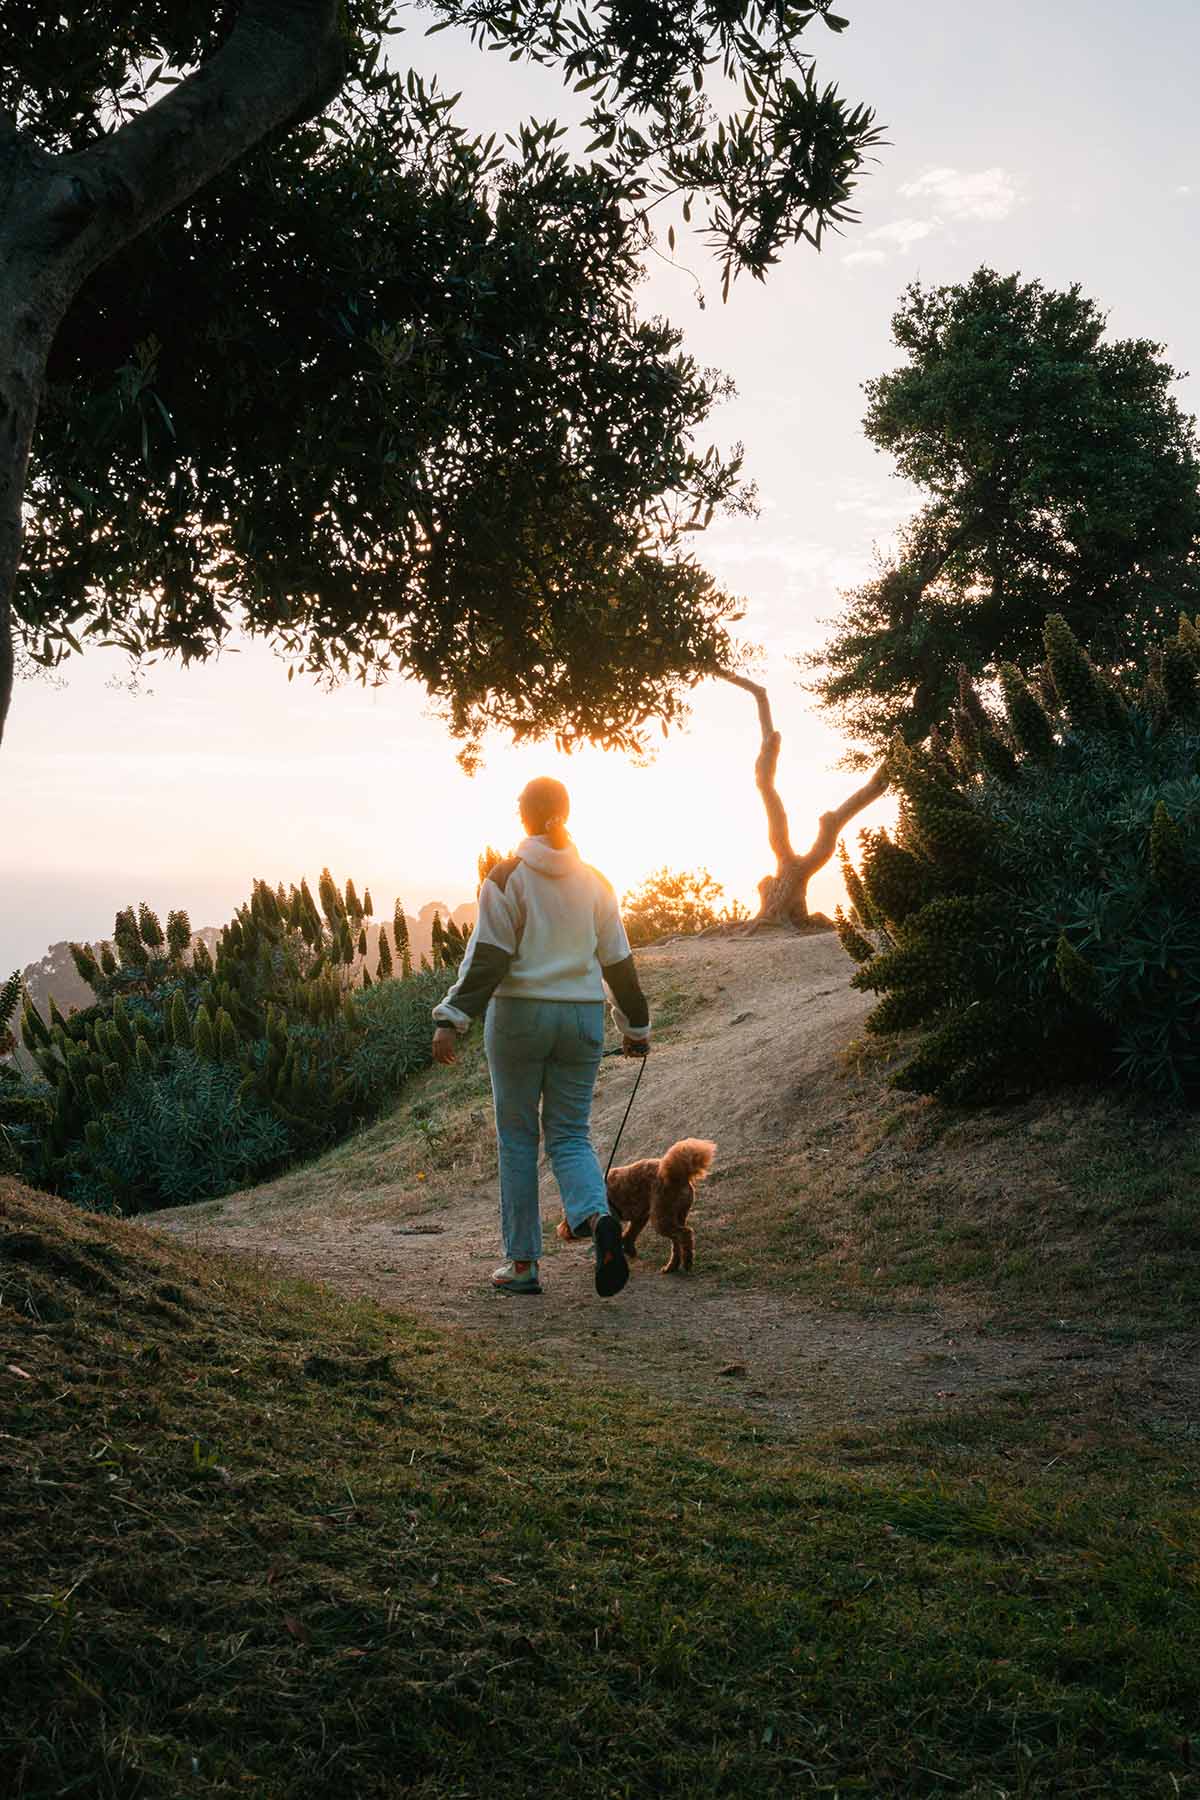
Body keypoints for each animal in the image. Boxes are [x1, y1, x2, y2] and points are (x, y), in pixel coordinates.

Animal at [557, 1137, 719, 1281]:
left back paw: (687, 1263)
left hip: (662, 1217)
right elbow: (630, 1234)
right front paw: (629, 1250)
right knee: (676, 1241)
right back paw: (671, 1267)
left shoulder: (618, 1217)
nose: (562, 1232)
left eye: (567, 1217)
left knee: (684, 1234)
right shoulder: (640, 1216)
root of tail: (677, 1174)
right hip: (673, 1214)